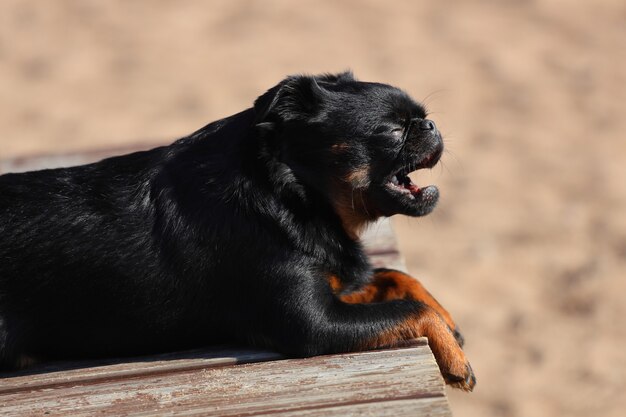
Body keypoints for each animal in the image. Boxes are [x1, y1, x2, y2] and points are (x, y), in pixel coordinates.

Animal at [0, 72, 476, 390]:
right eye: (392, 130)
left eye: (421, 118)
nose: (430, 125)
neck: (293, 193)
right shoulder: (315, 324)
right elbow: (408, 310)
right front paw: (455, 358)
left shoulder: (335, 287)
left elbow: (396, 278)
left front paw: (448, 322)